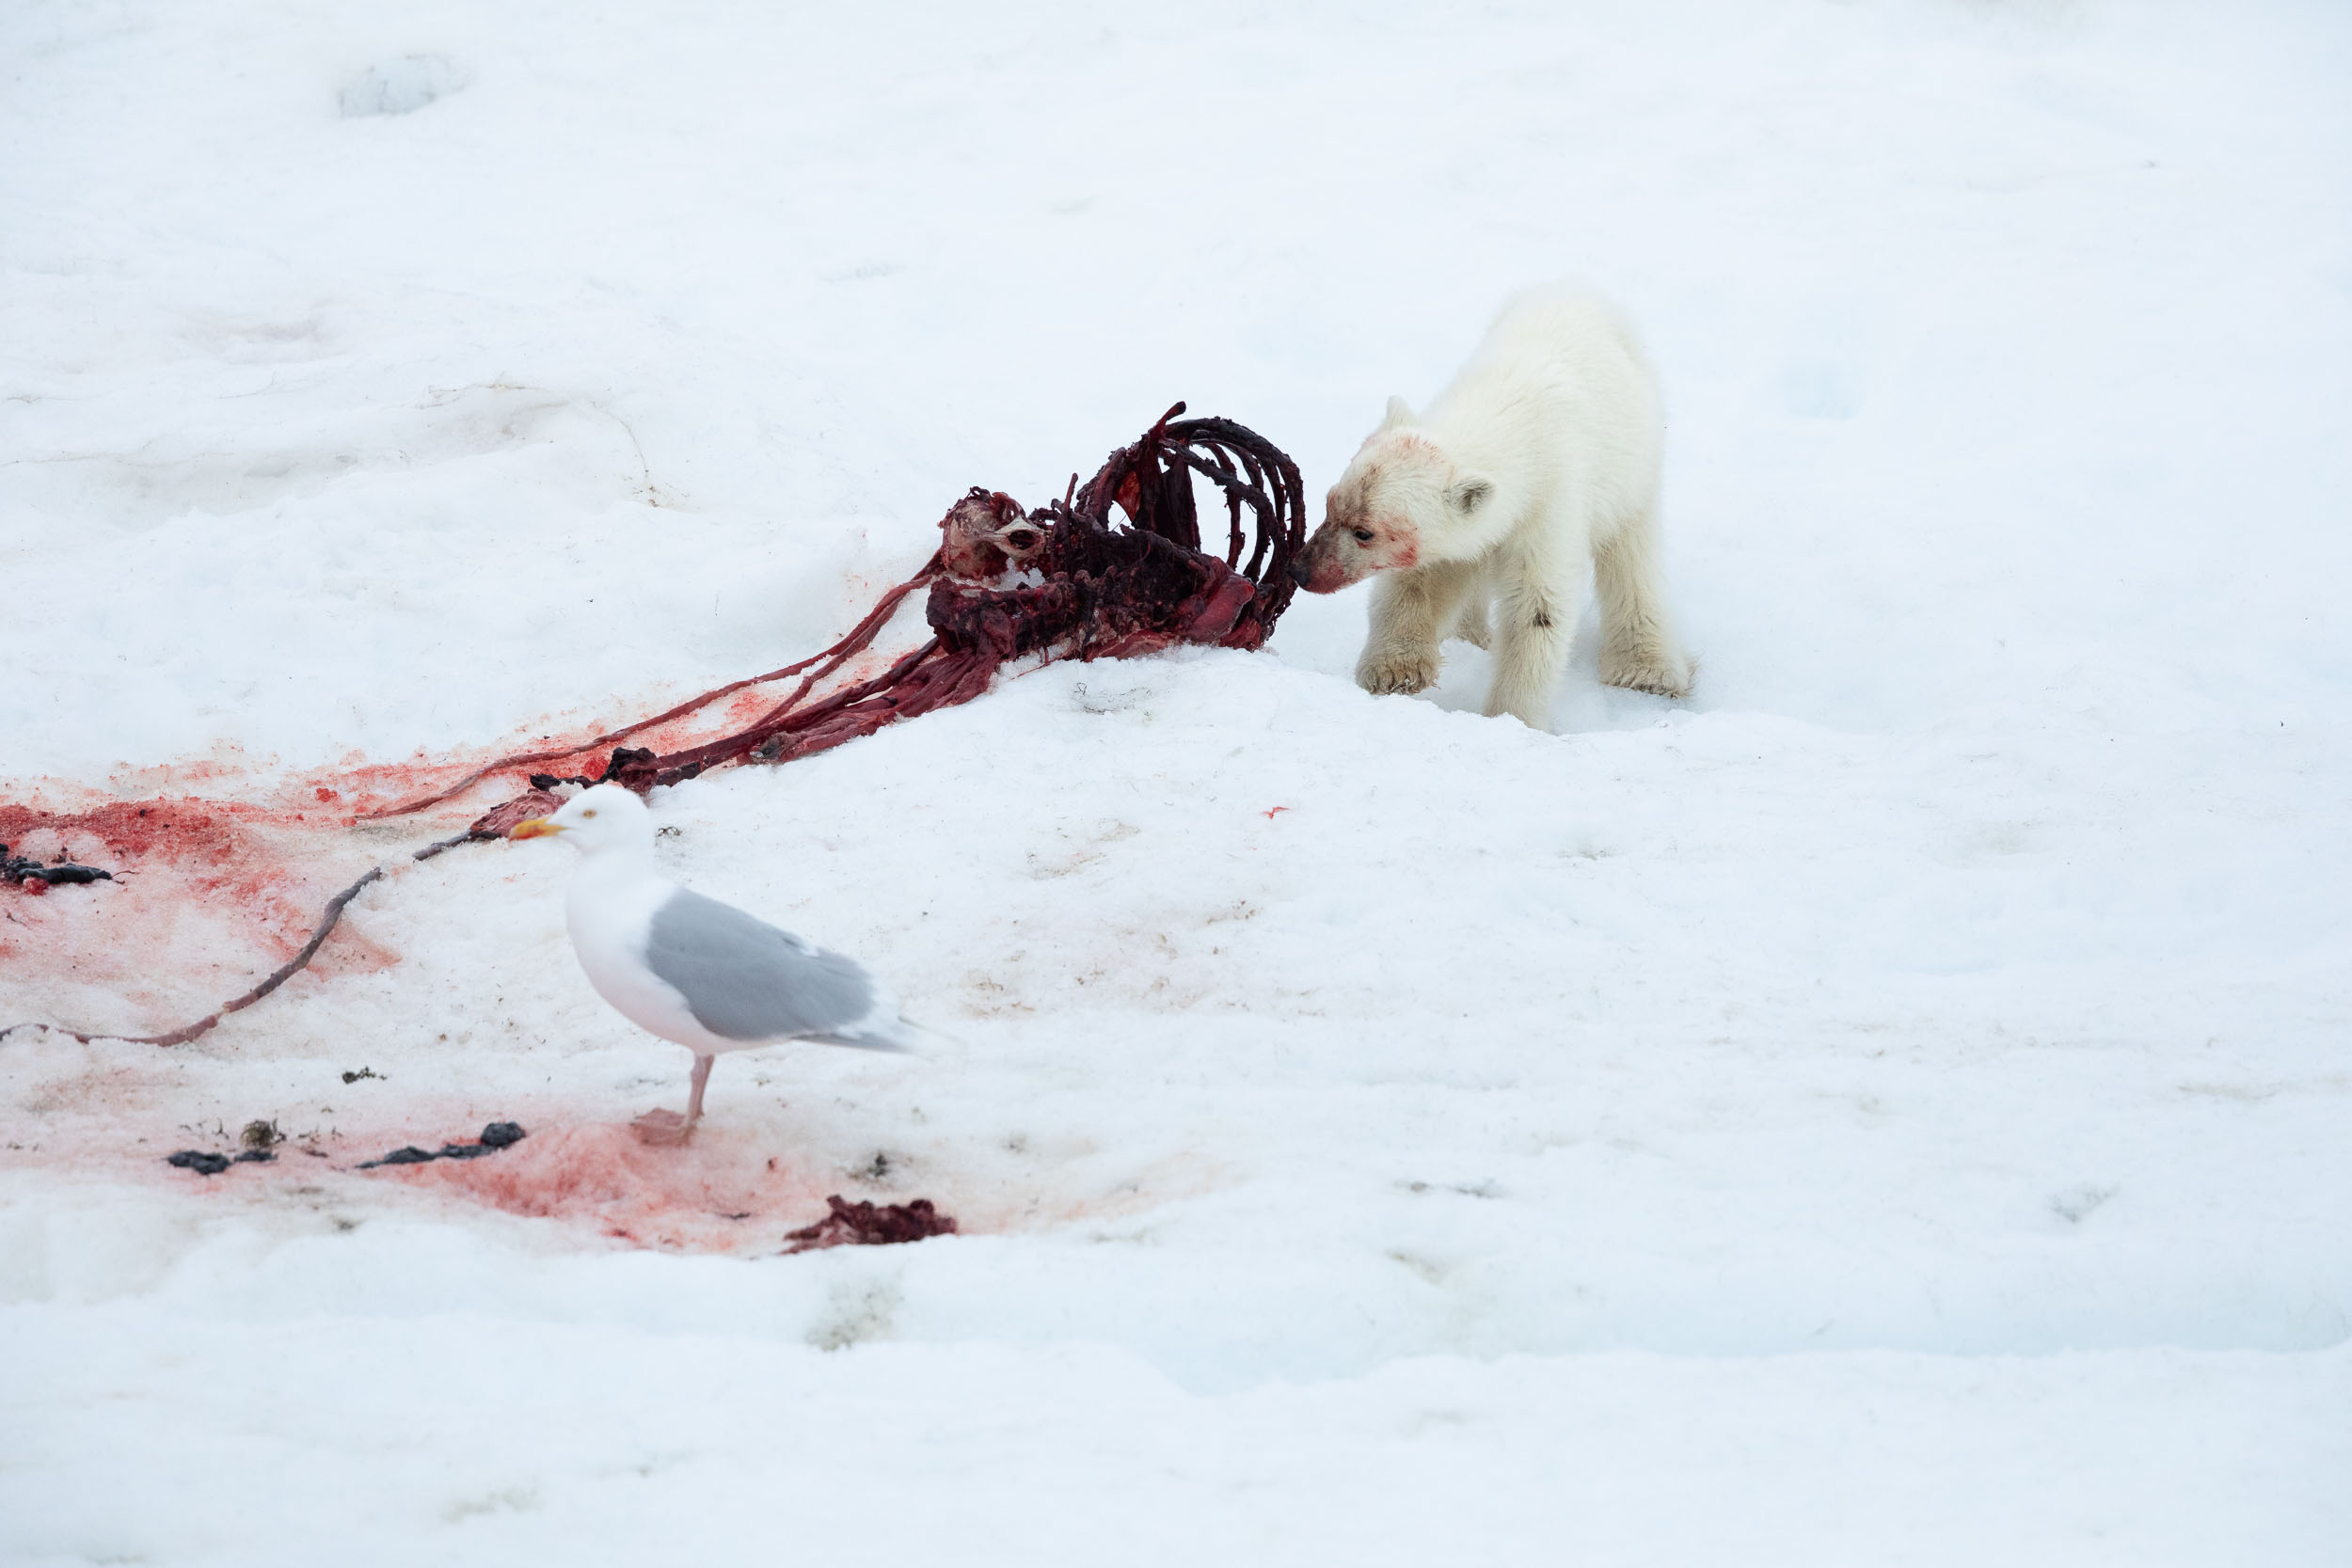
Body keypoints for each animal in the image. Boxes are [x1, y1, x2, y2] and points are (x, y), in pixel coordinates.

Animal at [1289, 285, 1693, 728]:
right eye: (1329, 503)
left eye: (1365, 531)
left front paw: (1512, 717)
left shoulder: (1551, 502)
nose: (1300, 570)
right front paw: (1395, 670)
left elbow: (1537, 607)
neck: (1509, 416)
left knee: (1631, 557)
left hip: (1635, 467)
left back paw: (1647, 671)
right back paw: (1469, 635)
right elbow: (1420, 579)